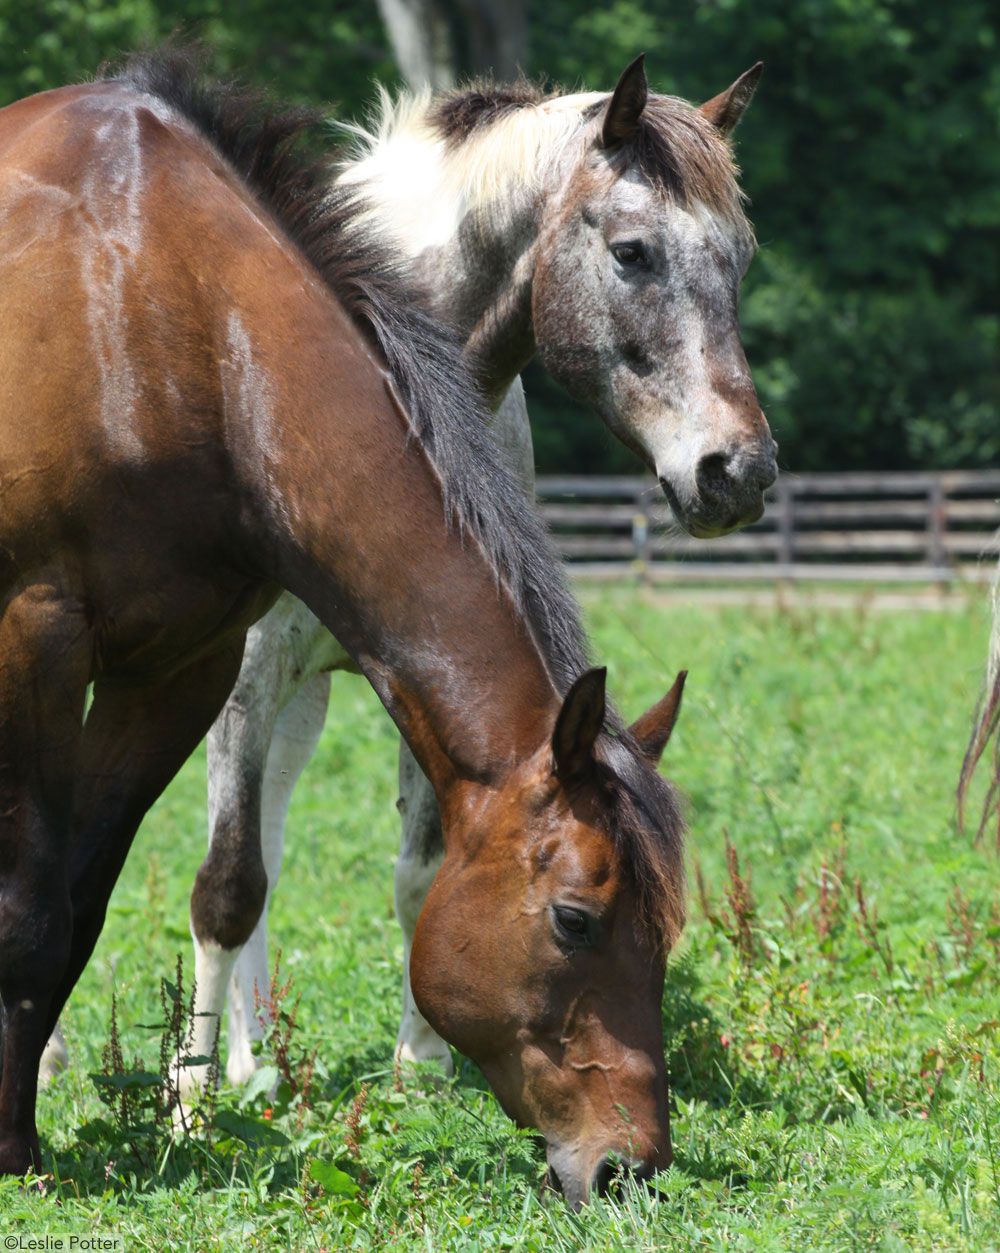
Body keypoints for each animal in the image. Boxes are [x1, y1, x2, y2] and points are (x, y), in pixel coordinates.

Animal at [0, 51, 686, 1202]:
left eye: (666, 927)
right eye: (574, 918)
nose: (631, 1163)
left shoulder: (178, 670)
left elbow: (77, 898)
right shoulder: (39, 643)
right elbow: (33, 895)